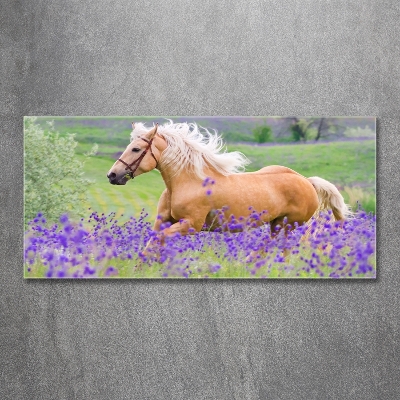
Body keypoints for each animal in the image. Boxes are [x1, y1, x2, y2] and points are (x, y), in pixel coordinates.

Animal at [108, 120, 352, 255]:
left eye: (136, 149)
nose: (112, 175)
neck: (188, 182)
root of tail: (307, 181)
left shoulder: (191, 225)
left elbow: (159, 241)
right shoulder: (164, 222)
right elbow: (151, 244)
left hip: (289, 225)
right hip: (277, 225)